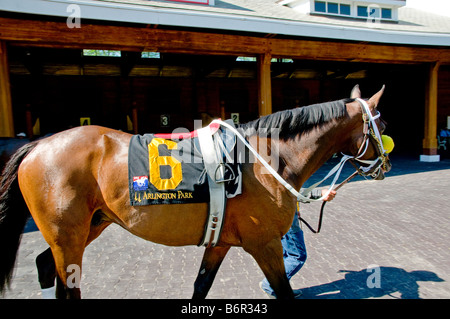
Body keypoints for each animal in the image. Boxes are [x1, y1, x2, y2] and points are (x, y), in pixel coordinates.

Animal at [0, 85, 390, 300]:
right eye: (382, 124)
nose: (384, 165)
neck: (265, 160)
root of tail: (37, 145)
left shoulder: (219, 242)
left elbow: (200, 287)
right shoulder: (265, 245)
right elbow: (284, 291)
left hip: (88, 226)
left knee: (45, 265)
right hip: (68, 236)